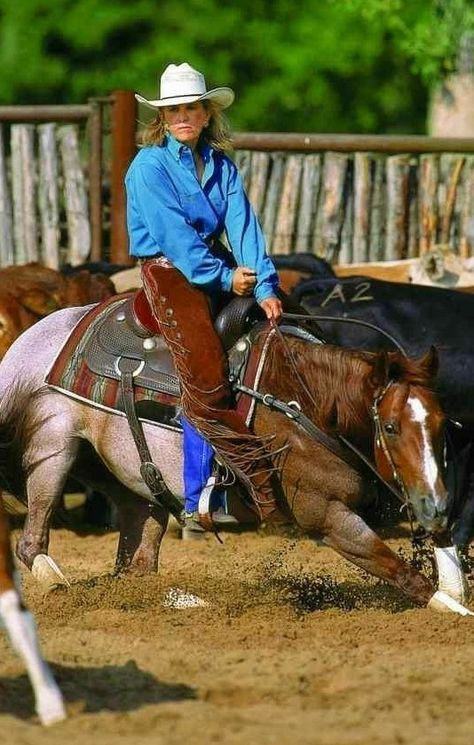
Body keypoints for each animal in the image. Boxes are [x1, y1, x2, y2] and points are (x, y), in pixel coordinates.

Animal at [0, 296, 470, 616]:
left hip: (131, 483)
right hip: (54, 448)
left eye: (442, 422)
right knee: (31, 543)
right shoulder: (327, 516)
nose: (434, 504)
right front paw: (455, 614)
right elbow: (402, 572)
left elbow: (446, 554)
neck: (305, 404)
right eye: (390, 427)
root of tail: (29, 340)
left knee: (136, 565)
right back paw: (60, 588)